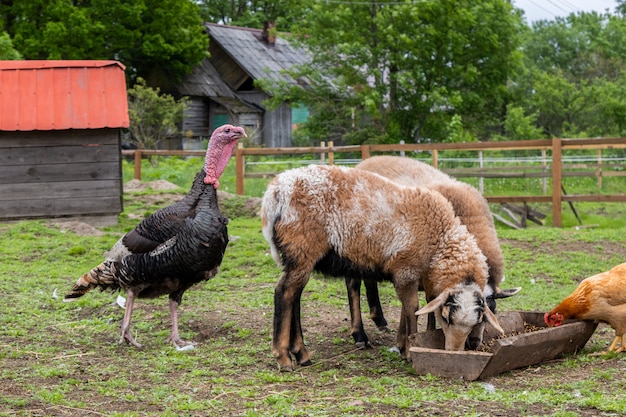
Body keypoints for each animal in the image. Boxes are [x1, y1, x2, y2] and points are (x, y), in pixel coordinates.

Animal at [258, 163, 502, 370]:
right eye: (447, 318)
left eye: (476, 322)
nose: (455, 351)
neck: (439, 240)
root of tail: (276, 192)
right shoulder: (405, 269)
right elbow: (412, 307)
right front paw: (409, 350)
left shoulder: (409, 275)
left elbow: (408, 308)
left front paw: (403, 344)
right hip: (302, 247)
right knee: (284, 293)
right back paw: (284, 357)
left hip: (299, 256)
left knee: (295, 296)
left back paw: (301, 353)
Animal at [348, 154, 520, 350]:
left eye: (493, 310)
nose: (474, 343)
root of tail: (367, 160)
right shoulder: (410, 267)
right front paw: (403, 341)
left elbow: (430, 302)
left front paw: (427, 333)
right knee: (353, 285)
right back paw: (359, 335)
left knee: (370, 280)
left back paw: (380, 320)